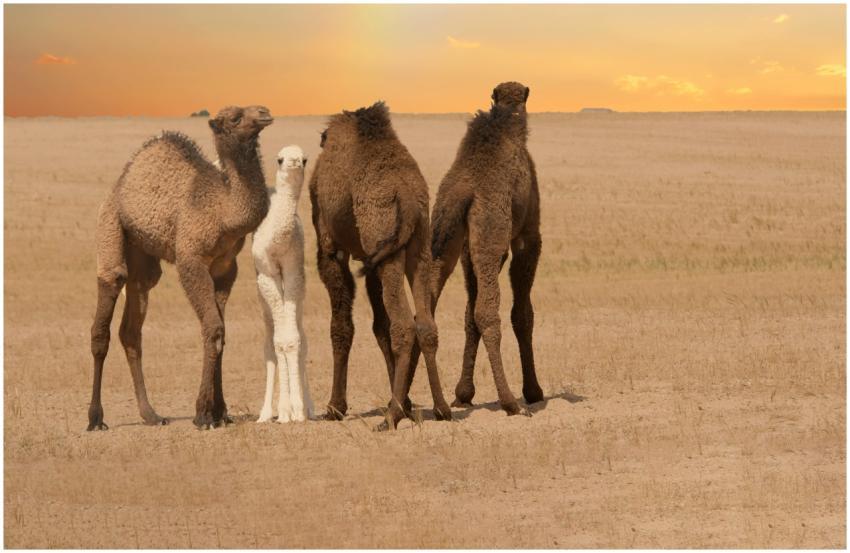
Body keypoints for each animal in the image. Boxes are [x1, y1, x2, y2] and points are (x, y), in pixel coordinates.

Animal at [87, 105, 274, 431]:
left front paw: (220, 412)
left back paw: (151, 415)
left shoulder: (226, 268)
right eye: (236, 117)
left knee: (131, 329)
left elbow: (221, 331)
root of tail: (121, 182)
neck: (223, 209)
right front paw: (203, 414)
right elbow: (212, 328)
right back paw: (96, 418)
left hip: (143, 262)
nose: (265, 112)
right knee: (108, 302)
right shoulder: (191, 259)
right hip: (109, 223)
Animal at [309, 101, 451, 430]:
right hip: (415, 248)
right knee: (425, 324)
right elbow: (379, 326)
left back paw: (391, 417)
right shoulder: (371, 256)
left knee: (404, 325)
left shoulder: (332, 248)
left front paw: (335, 407)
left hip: (387, 246)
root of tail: (409, 198)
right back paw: (441, 408)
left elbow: (342, 326)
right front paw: (408, 403)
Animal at [428, 82, 543, 416]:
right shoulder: (527, 235)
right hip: (490, 236)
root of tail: (463, 191)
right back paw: (511, 402)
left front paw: (464, 393)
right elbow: (522, 314)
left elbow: (468, 315)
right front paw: (533, 391)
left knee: (427, 310)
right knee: (488, 313)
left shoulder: (468, 249)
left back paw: (434, 406)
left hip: (442, 238)